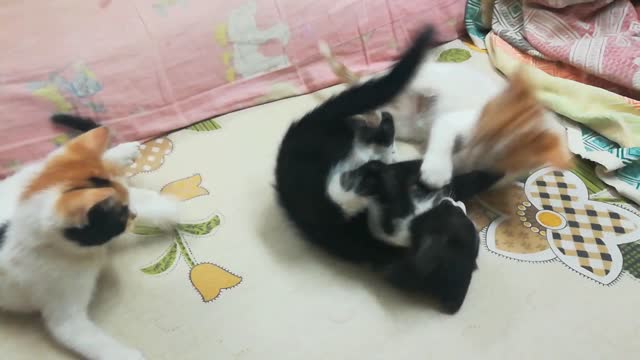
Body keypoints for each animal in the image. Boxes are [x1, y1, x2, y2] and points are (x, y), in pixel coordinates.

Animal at [0, 126, 179, 360]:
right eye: (121, 216)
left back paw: (120, 152)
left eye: (126, 208)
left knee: (49, 159)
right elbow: (81, 336)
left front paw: (169, 210)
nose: (134, 215)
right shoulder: (62, 308)